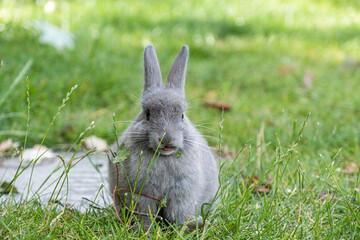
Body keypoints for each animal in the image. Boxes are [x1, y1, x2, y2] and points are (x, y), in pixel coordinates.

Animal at [107, 44, 219, 230]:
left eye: (182, 115)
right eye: (147, 114)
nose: (167, 139)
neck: (164, 157)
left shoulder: (183, 193)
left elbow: (179, 215)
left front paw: (180, 231)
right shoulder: (142, 195)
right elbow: (146, 215)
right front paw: (146, 231)